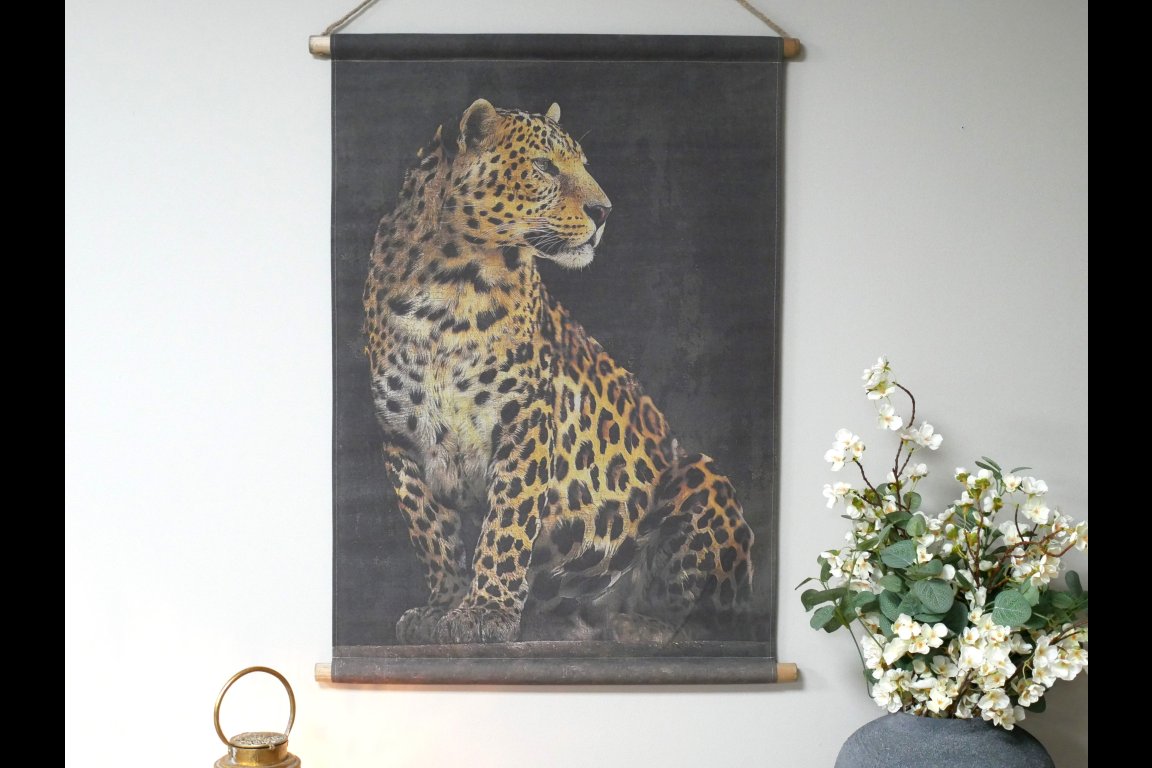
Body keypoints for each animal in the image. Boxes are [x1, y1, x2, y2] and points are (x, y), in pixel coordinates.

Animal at [362, 98, 754, 644]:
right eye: (545, 167)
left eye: (583, 164)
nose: (604, 211)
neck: (449, 286)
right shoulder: (399, 439)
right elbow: (431, 534)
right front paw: (443, 606)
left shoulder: (524, 421)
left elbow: (506, 523)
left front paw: (485, 612)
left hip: (702, 475)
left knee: (701, 615)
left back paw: (640, 625)